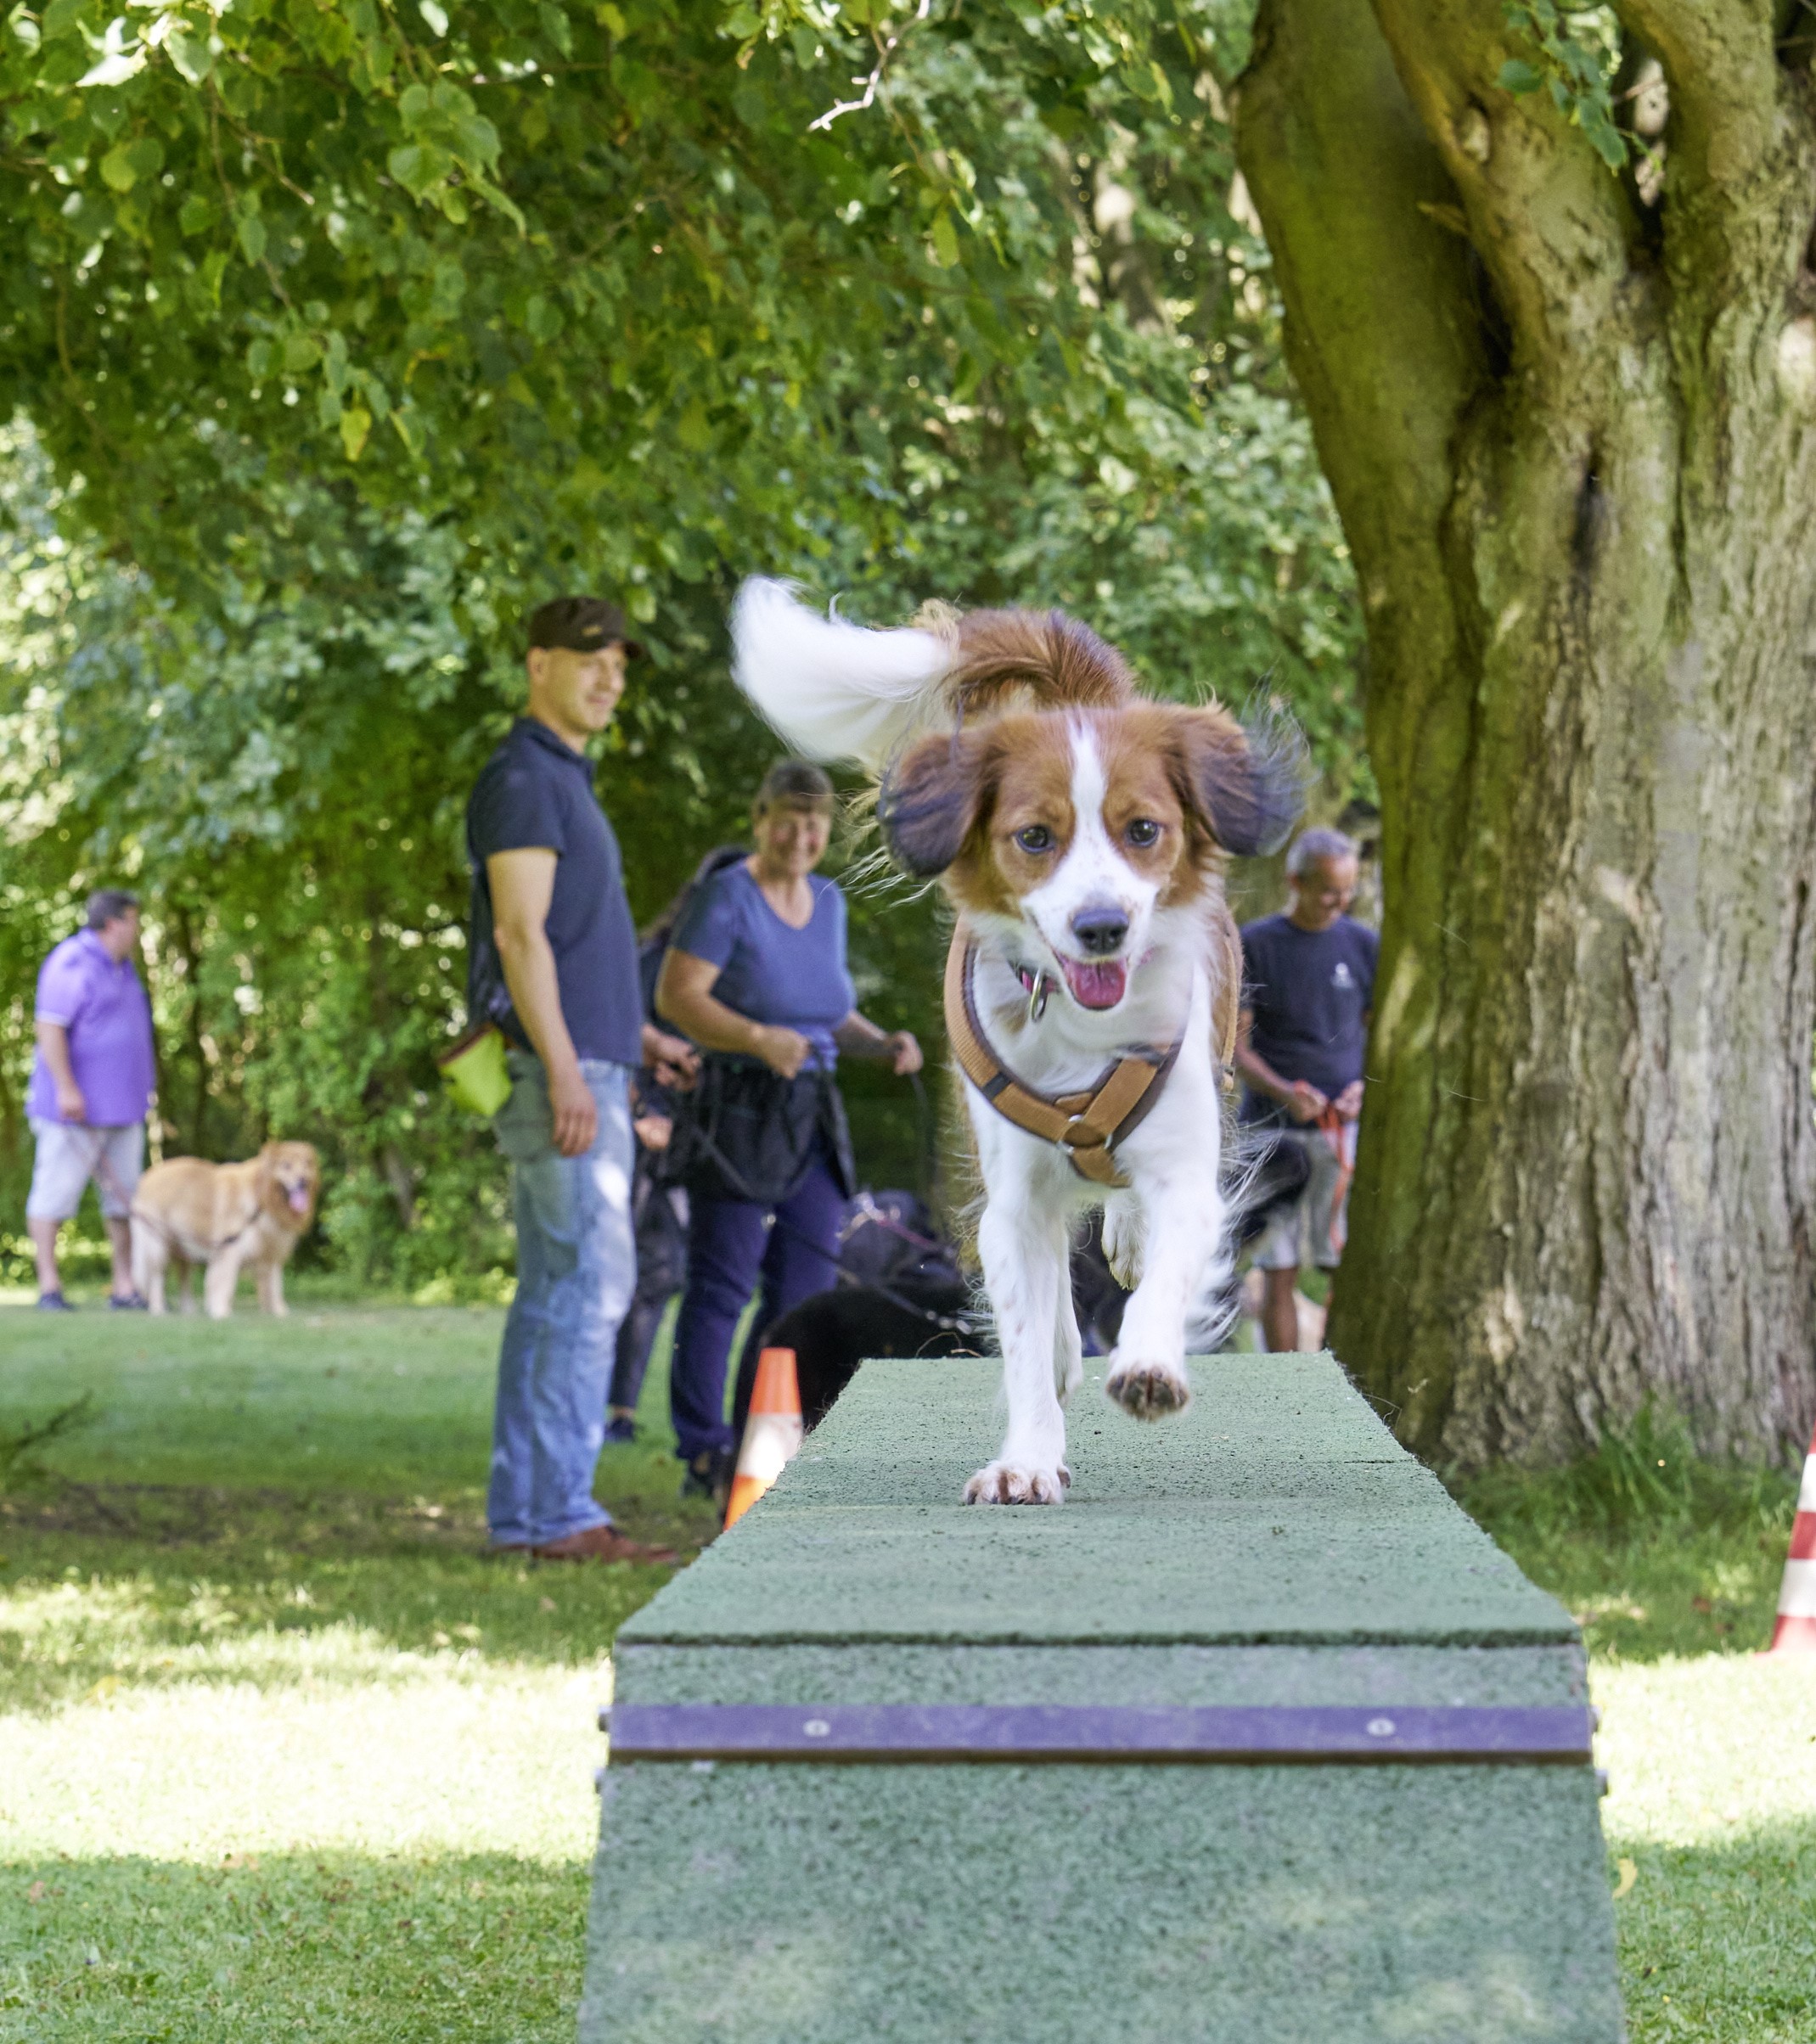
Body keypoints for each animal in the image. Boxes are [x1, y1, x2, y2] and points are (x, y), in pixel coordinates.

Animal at [131, 1144, 323, 1316]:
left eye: (306, 1165)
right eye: (286, 1165)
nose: (303, 1180)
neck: (262, 1198)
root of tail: (147, 1177)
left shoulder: (271, 1253)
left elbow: (275, 1285)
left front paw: (278, 1311)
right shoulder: (230, 1249)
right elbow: (225, 1282)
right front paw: (221, 1311)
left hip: (183, 1248)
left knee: (183, 1279)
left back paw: (189, 1310)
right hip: (157, 1244)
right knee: (156, 1277)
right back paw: (158, 1309)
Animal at [723, 584, 1292, 1512]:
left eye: (1144, 830)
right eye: (1034, 837)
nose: (1101, 927)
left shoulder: (1185, 1163)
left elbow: (1168, 1269)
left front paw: (1147, 1363)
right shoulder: (1014, 1199)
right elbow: (1026, 1332)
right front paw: (1028, 1457)